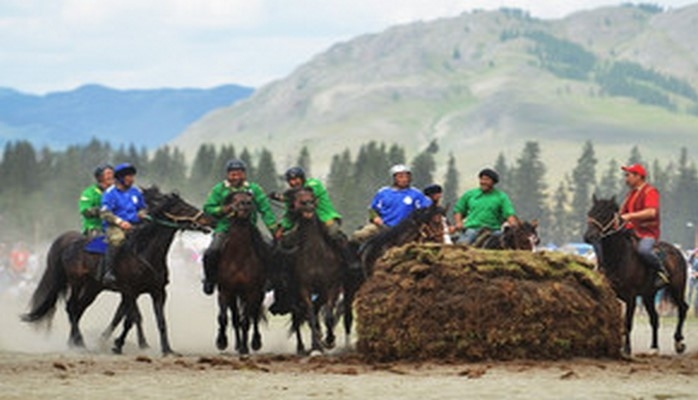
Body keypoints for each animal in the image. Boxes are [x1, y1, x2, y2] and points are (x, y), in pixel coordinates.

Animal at [21, 186, 209, 354]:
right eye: (183, 207)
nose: (208, 220)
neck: (144, 252)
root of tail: (69, 244)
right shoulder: (130, 291)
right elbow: (133, 318)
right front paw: (128, 344)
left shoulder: (157, 291)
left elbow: (157, 321)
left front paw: (167, 349)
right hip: (76, 282)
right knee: (71, 307)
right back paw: (79, 342)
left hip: (92, 288)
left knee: (79, 309)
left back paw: (74, 342)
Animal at [212, 192, 270, 354]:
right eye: (234, 199)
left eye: (249, 197)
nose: (246, 203)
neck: (239, 257)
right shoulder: (225, 291)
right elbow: (224, 318)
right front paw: (221, 341)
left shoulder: (252, 292)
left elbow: (247, 321)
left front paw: (245, 347)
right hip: (235, 296)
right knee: (235, 318)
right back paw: (238, 344)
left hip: (257, 295)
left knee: (253, 317)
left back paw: (254, 342)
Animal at [280, 186, 346, 354]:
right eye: (296, 197)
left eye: (311, 195)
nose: (308, 204)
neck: (316, 254)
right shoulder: (303, 288)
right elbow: (309, 313)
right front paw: (317, 344)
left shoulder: (331, 286)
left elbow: (327, 315)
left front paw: (329, 340)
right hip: (292, 293)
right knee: (298, 316)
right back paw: (302, 346)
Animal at [580, 195, 684, 354]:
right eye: (590, 213)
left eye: (604, 215)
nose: (588, 236)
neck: (618, 256)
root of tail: (677, 252)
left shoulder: (631, 297)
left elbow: (627, 322)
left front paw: (626, 349)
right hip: (648, 295)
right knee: (655, 318)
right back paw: (654, 347)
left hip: (677, 289)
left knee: (683, 309)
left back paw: (678, 342)